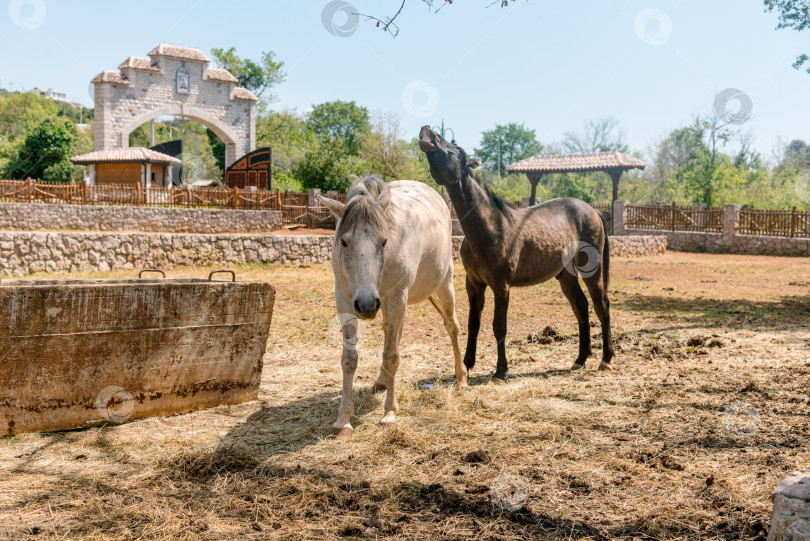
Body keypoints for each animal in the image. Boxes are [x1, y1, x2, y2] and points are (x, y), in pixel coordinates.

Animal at [319, 175, 466, 437]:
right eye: (344, 242)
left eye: (384, 241)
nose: (367, 304)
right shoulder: (344, 300)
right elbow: (349, 359)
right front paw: (343, 419)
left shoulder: (398, 299)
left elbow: (392, 356)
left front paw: (389, 414)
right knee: (388, 331)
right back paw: (381, 381)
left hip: (444, 283)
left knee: (452, 326)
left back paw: (462, 378)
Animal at [418, 126, 614, 382]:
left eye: (457, 149)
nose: (428, 131)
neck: (490, 226)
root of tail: (594, 211)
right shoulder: (474, 284)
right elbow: (473, 323)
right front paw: (467, 365)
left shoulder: (501, 286)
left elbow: (499, 326)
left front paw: (500, 370)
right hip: (566, 276)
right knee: (581, 307)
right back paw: (580, 359)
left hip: (592, 272)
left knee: (602, 306)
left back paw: (606, 359)